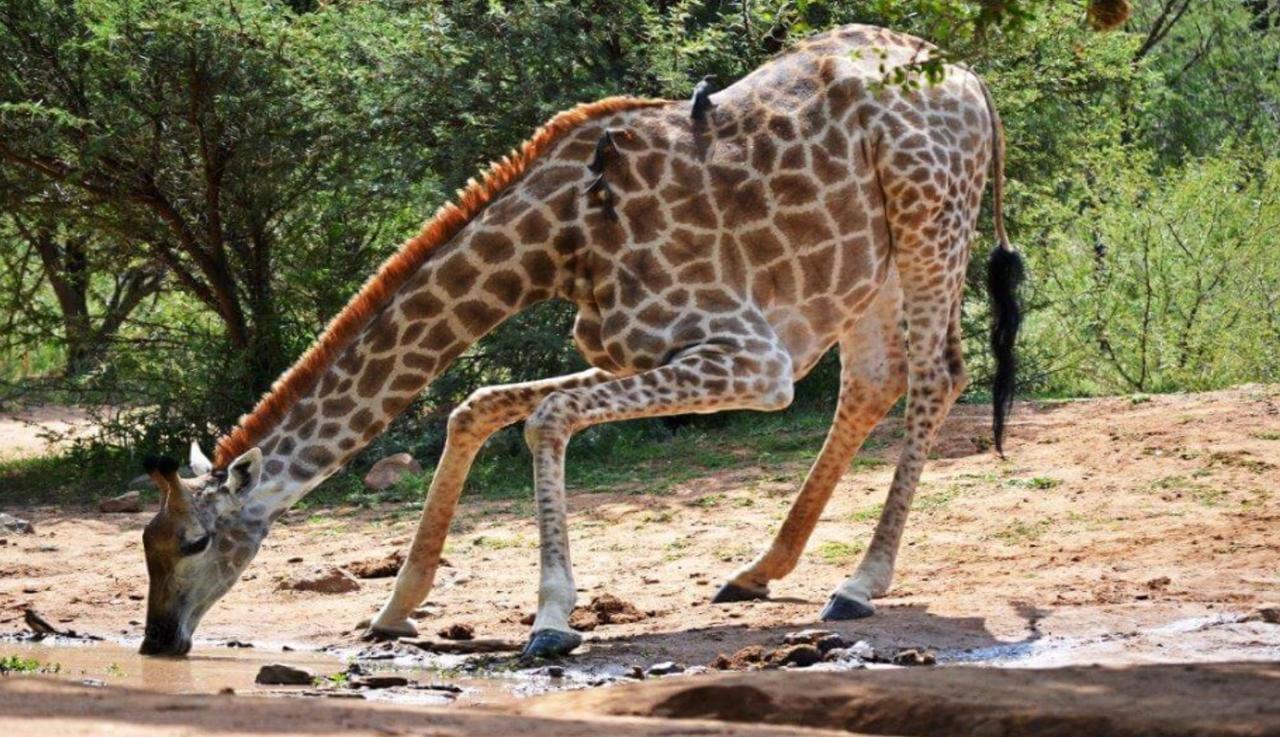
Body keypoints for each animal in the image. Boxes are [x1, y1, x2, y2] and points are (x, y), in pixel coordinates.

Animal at [140, 21, 1024, 655]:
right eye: (146, 542)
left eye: (193, 540)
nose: (159, 641)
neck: (557, 242)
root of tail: (974, 81)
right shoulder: (629, 350)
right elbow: (480, 404)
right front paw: (395, 607)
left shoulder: (753, 361)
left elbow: (544, 418)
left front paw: (551, 620)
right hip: (867, 262)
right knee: (875, 379)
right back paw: (757, 572)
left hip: (930, 217)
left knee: (938, 372)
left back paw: (861, 580)